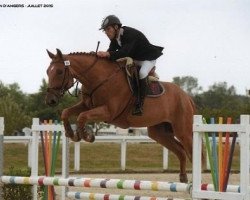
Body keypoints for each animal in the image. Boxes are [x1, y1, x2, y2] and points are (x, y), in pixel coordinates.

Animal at [45, 48, 195, 183]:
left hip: (183, 131)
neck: (100, 78)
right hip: (159, 133)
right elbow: (66, 112)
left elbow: (82, 116)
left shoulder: (108, 112)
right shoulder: (86, 106)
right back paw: (183, 177)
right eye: (47, 71)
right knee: (181, 151)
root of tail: (186, 96)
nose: (50, 100)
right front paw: (72, 134)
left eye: (59, 71)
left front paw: (86, 135)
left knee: (191, 152)